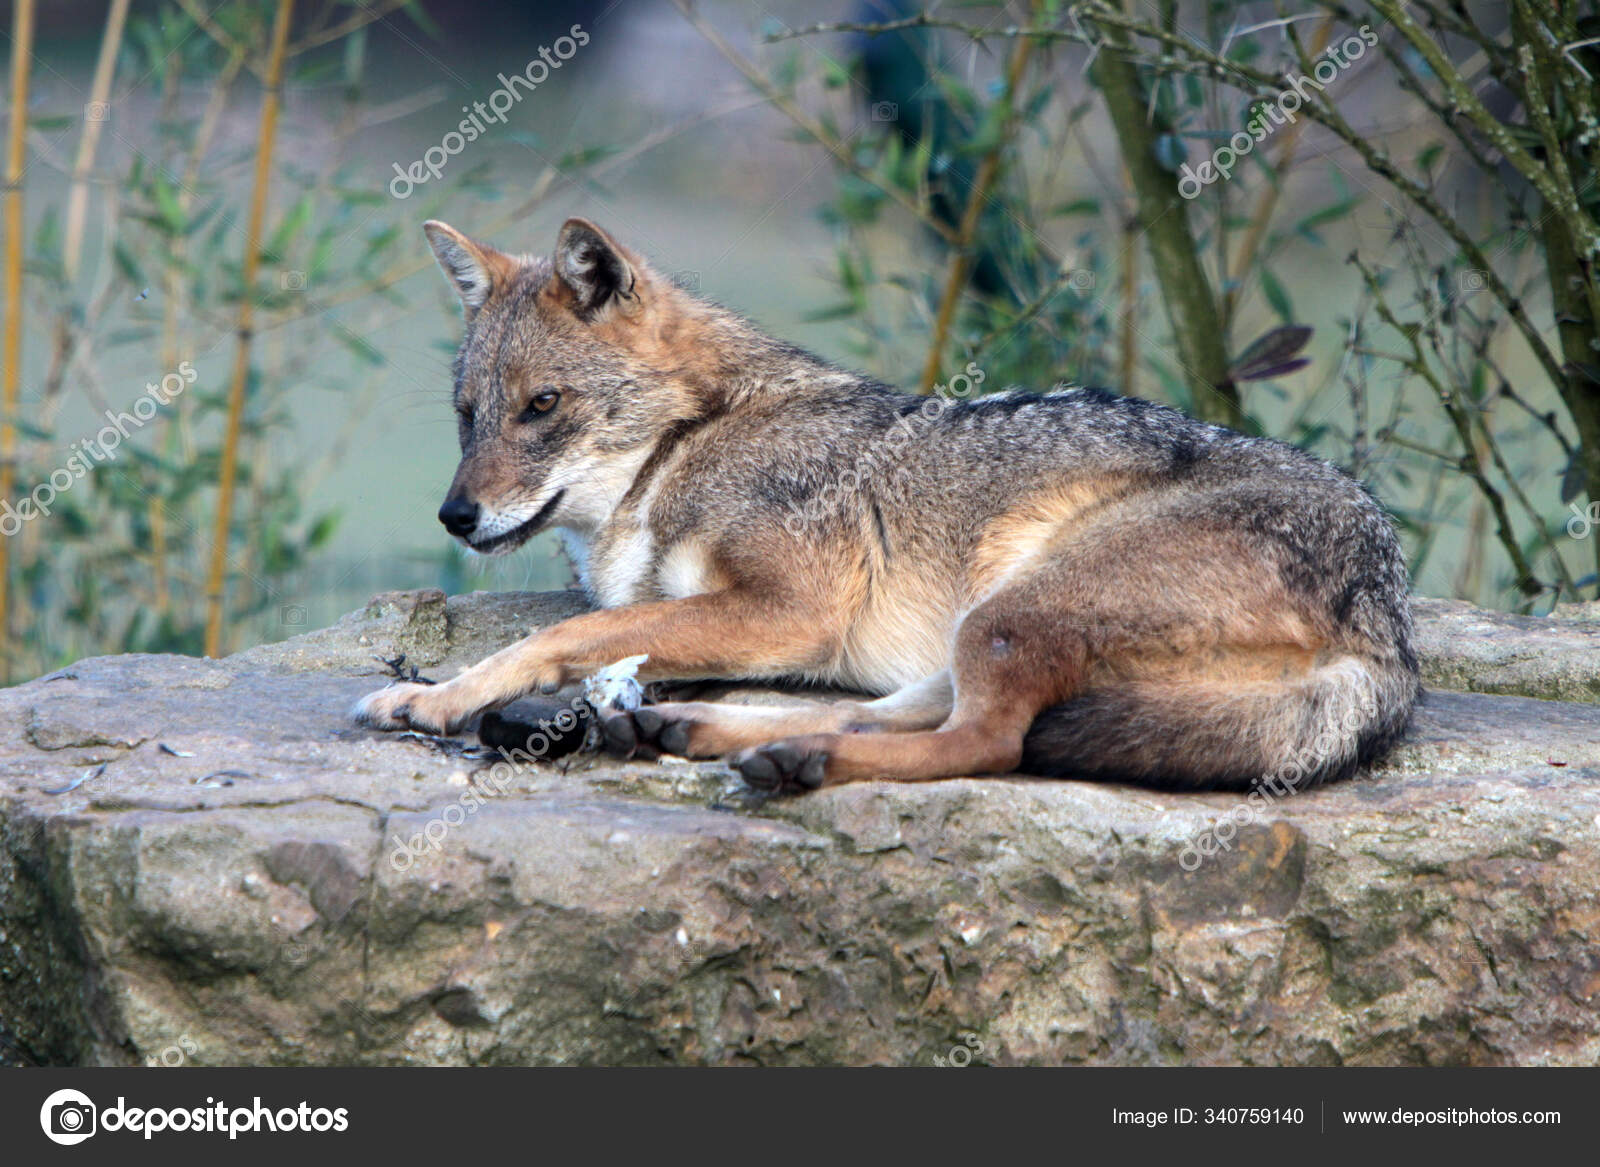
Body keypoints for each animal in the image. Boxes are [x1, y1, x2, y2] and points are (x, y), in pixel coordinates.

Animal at [354, 216, 1419, 794]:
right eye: (467, 416)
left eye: (542, 407)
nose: (455, 517)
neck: (693, 438)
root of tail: (1389, 612)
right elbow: (596, 635)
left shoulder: (790, 610)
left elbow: (556, 636)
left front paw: (442, 696)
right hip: (970, 634)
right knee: (893, 717)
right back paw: (705, 732)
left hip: (1004, 613)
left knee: (989, 743)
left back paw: (791, 761)